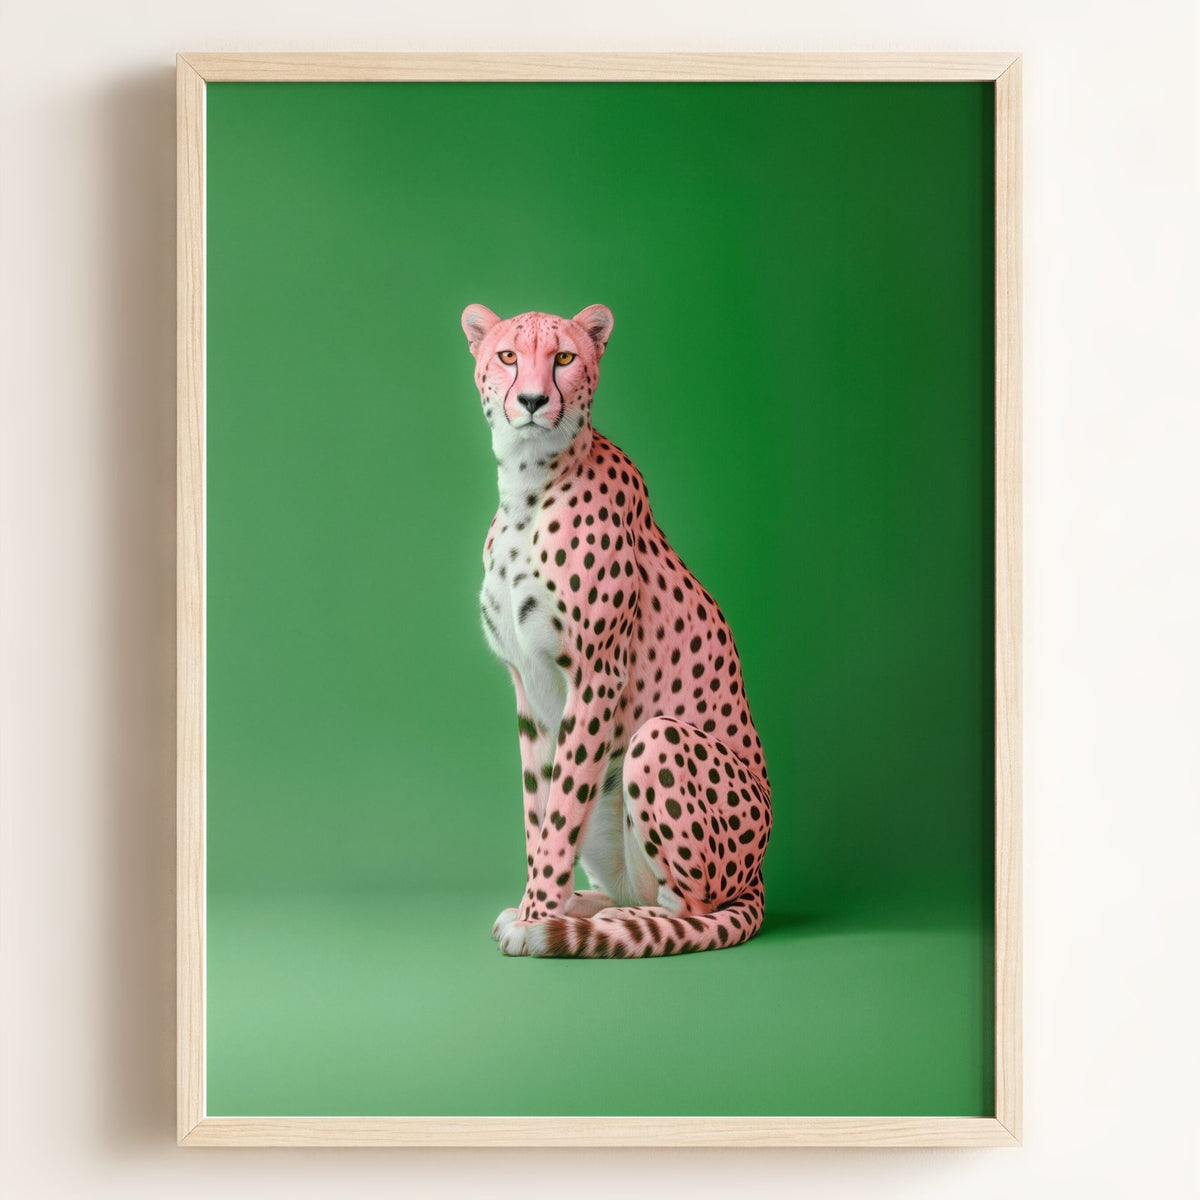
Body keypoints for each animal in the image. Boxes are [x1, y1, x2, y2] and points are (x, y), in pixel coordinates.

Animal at [463, 302, 771, 957]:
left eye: (563, 357)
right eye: (507, 356)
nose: (532, 400)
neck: (528, 484)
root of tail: (758, 875)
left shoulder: (596, 676)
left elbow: (560, 815)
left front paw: (536, 917)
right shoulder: (528, 688)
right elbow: (539, 809)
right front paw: (535, 906)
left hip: (657, 740)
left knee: (690, 910)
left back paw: (599, 924)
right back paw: (585, 907)